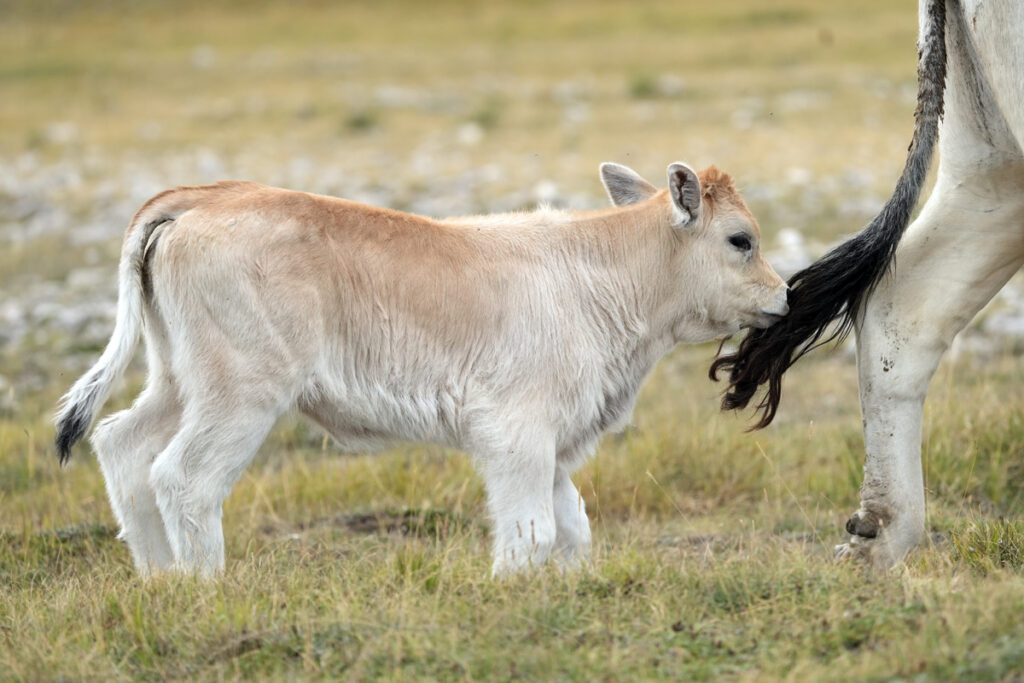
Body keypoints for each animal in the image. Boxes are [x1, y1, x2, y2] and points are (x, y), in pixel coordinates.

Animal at [54, 161, 790, 577]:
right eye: (740, 240)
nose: (784, 295)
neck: (596, 274)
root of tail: (206, 198)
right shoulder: (517, 435)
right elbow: (531, 534)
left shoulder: (553, 445)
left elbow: (570, 529)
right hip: (239, 396)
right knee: (183, 478)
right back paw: (205, 587)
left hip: (178, 382)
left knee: (121, 443)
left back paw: (162, 582)